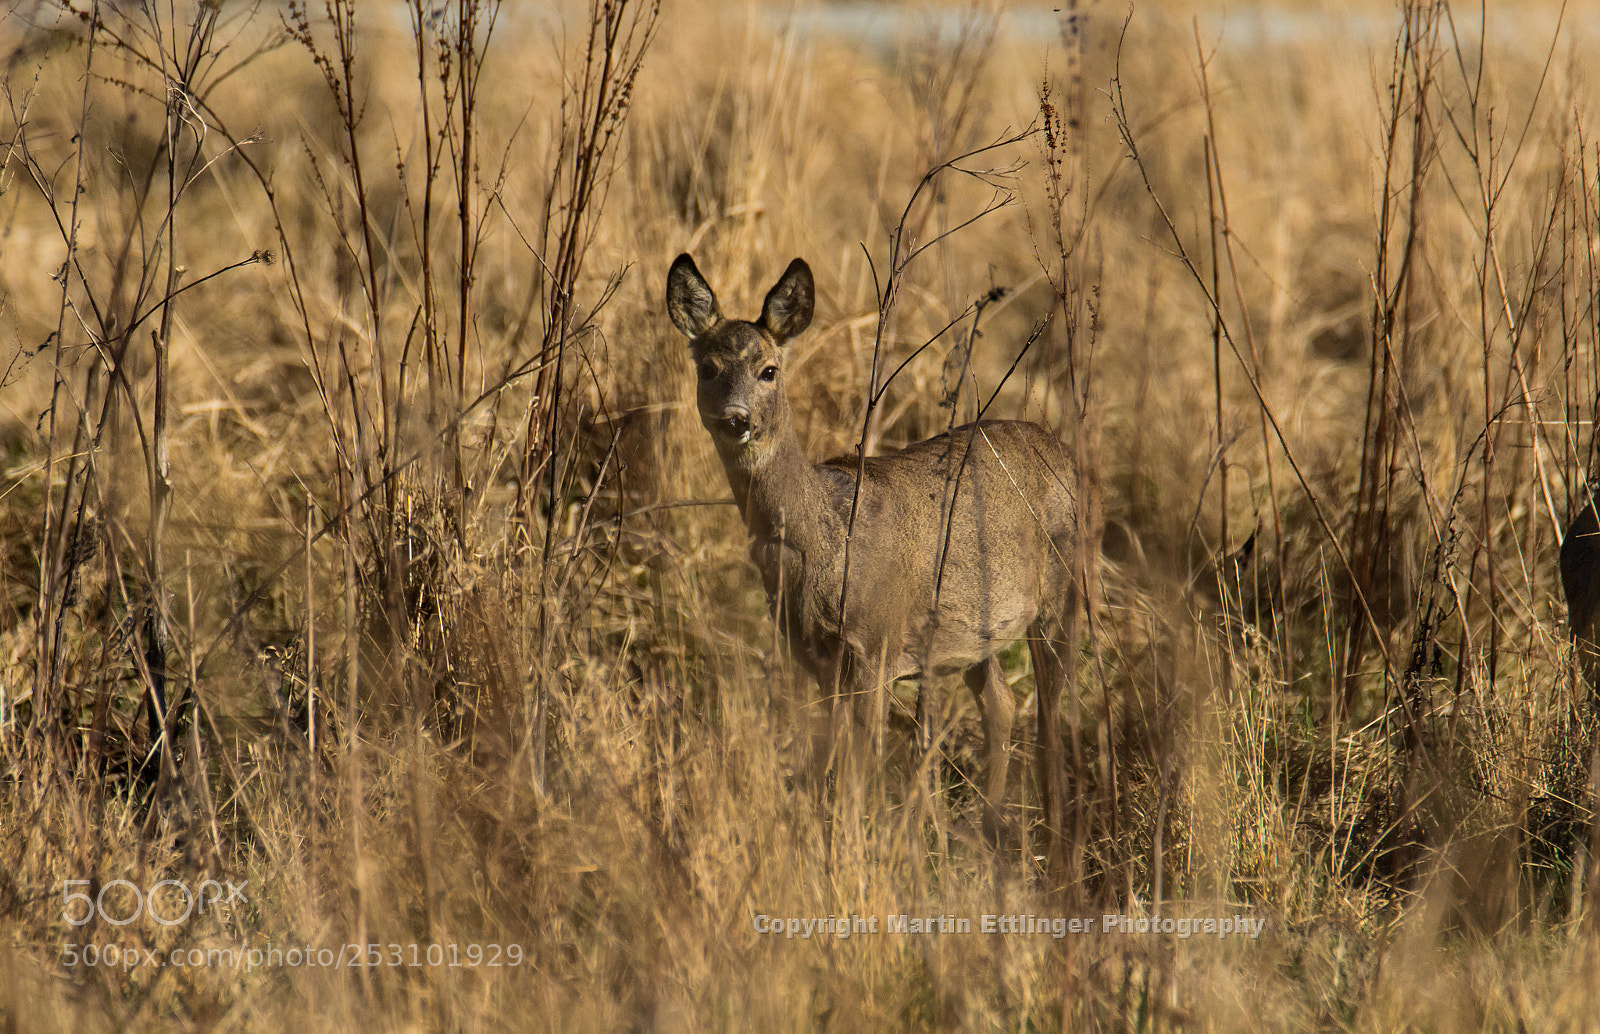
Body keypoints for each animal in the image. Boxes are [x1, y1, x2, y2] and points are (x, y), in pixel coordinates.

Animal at [665, 253, 1078, 849]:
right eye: (708, 368)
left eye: (769, 370)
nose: (737, 419)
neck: (825, 542)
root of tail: (1059, 447)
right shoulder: (814, 654)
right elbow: (835, 757)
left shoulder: (876, 645)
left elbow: (863, 766)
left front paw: (855, 844)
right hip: (971, 630)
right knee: (1001, 702)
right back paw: (986, 825)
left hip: (1060, 593)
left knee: (1050, 712)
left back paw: (1051, 834)